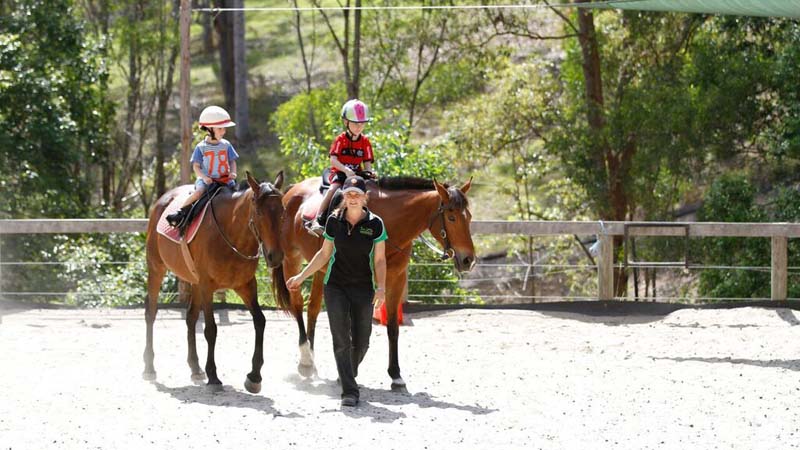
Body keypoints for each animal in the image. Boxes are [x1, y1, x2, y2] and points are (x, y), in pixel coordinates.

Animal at [144, 172, 288, 394]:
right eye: (259, 212)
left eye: (282, 211)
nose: (275, 256)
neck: (231, 235)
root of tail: (162, 200)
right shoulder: (207, 286)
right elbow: (211, 329)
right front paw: (213, 375)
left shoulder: (246, 285)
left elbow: (260, 321)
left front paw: (254, 376)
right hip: (156, 269)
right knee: (151, 313)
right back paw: (150, 367)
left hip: (193, 281)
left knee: (190, 318)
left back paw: (195, 367)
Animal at [276, 176, 476, 386]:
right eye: (452, 218)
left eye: (469, 217)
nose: (468, 260)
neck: (390, 223)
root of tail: (292, 191)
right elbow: (355, 330)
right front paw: (349, 370)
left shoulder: (396, 279)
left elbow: (391, 328)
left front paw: (395, 374)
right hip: (291, 259)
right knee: (298, 305)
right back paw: (306, 361)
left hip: (321, 270)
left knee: (313, 309)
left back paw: (312, 362)